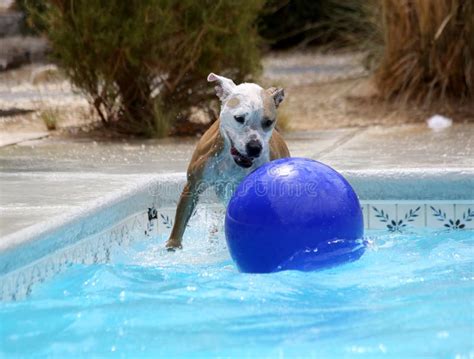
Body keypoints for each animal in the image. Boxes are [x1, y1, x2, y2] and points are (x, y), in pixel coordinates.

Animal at [167, 73, 292, 250]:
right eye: (239, 118)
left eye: (268, 122)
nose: (254, 147)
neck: (233, 162)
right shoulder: (192, 186)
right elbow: (180, 223)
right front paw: (172, 247)